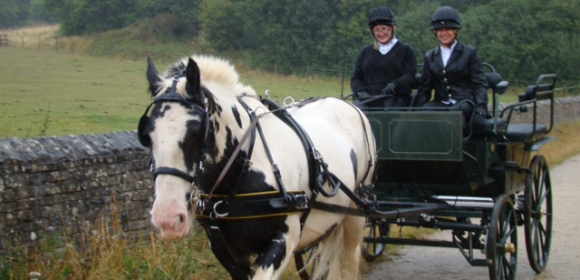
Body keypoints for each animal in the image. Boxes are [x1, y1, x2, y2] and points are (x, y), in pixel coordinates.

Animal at [139, 53, 376, 278]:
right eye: (147, 135)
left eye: (197, 131)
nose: (167, 218)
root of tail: (345, 103)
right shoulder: (224, 249)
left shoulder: (285, 238)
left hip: (356, 209)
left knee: (348, 262)